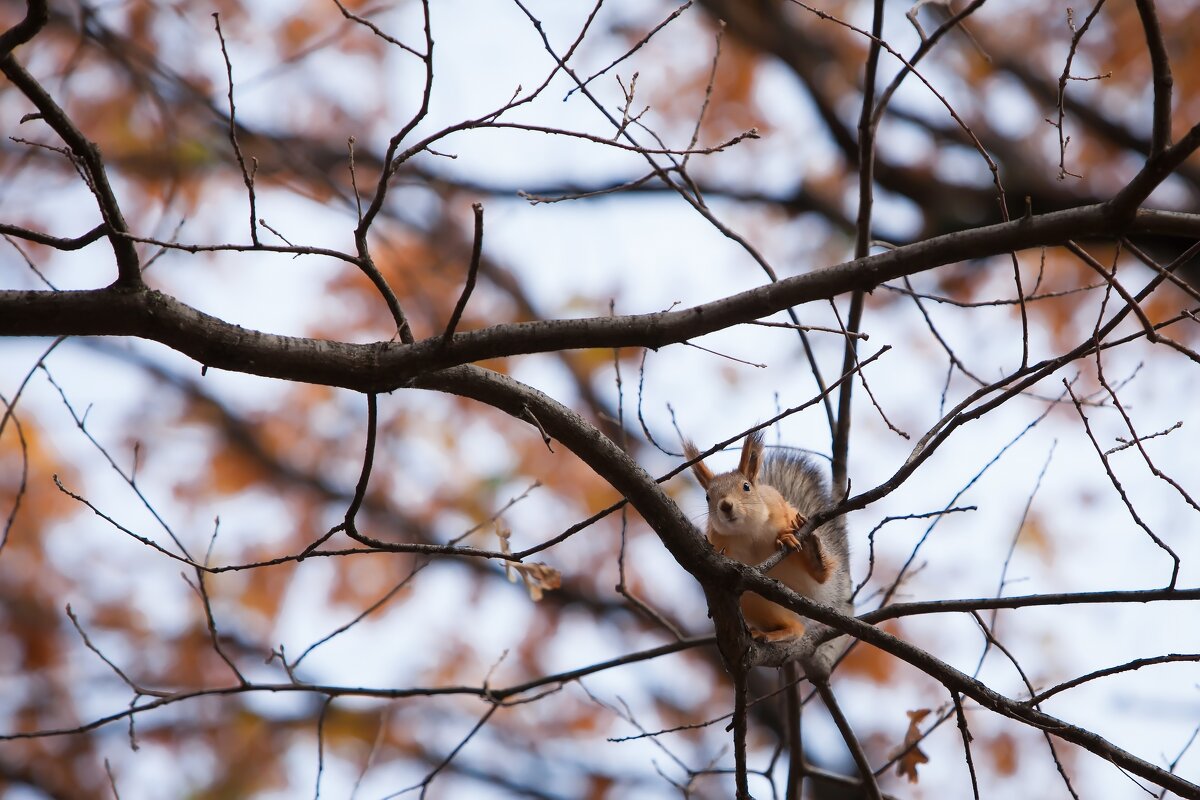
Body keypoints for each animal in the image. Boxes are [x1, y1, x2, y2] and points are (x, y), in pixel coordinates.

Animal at [686, 431, 854, 642]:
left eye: (746, 486)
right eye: (708, 497)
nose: (725, 505)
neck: (748, 531)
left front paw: (787, 538)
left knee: (820, 576)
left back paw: (812, 552)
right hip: (761, 605)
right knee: (795, 628)